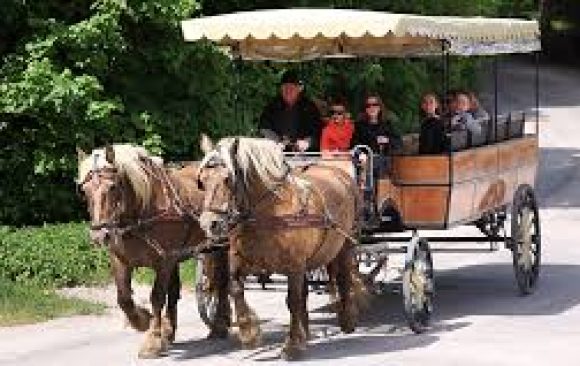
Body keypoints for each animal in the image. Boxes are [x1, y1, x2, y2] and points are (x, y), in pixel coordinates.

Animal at [76, 144, 230, 358]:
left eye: (113, 187)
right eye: (84, 191)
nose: (100, 235)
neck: (142, 211)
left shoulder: (164, 262)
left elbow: (156, 297)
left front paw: (153, 340)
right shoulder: (120, 261)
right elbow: (124, 299)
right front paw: (145, 322)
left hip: (218, 245)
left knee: (222, 283)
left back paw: (220, 325)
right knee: (175, 292)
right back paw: (170, 331)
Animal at [198, 135, 362, 360]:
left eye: (228, 179)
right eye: (202, 181)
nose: (209, 224)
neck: (268, 213)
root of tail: (340, 173)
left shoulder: (294, 265)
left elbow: (292, 300)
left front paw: (292, 345)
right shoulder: (241, 260)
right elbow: (235, 289)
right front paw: (250, 335)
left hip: (344, 245)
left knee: (344, 278)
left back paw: (346, 320)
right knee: (306, 292)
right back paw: (306, 332)